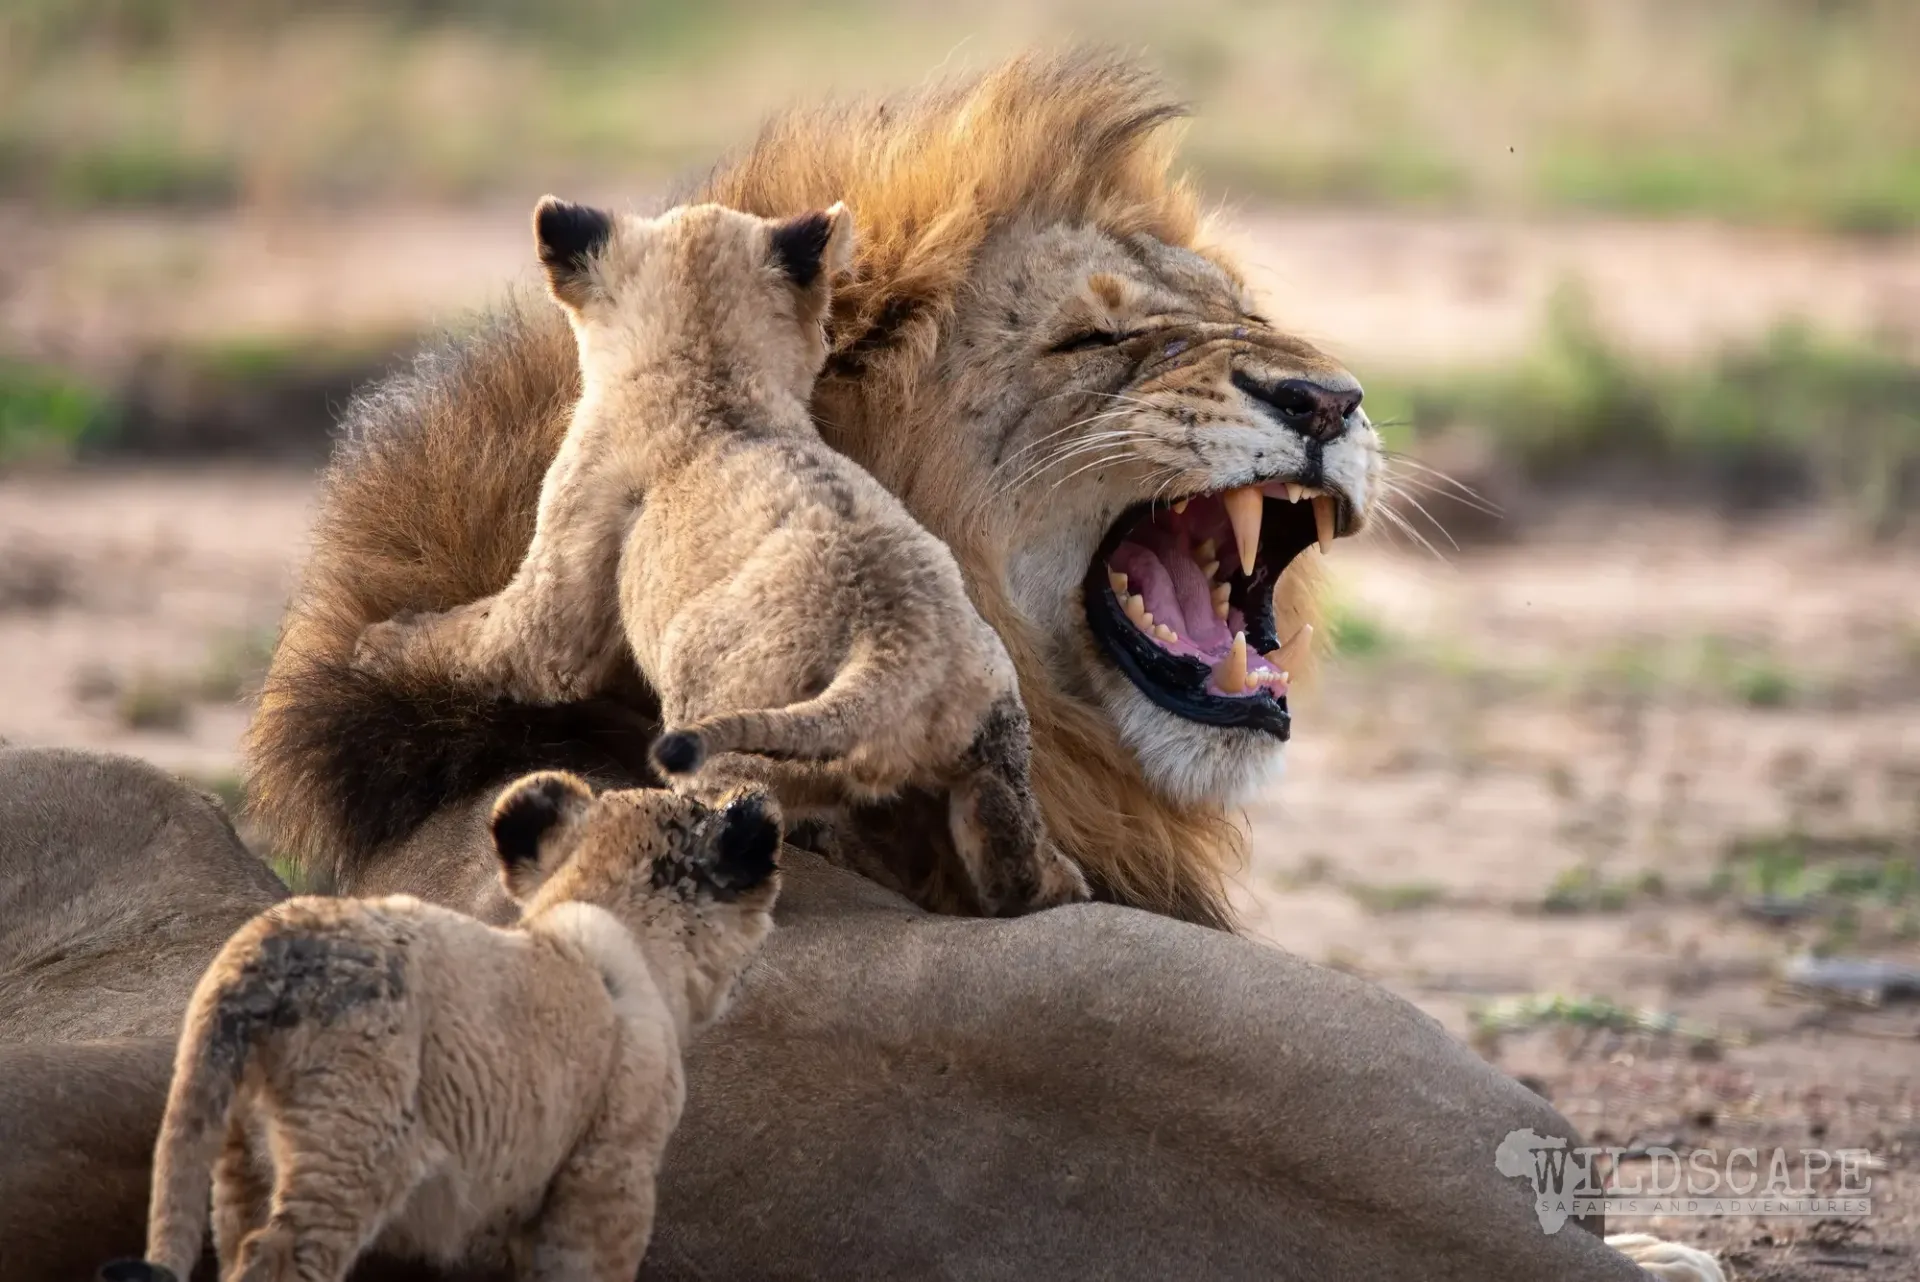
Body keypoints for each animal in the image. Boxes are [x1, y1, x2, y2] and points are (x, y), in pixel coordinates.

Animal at [102, 772, 780, 1282]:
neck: (608, 911)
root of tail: (265, 951)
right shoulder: (609, 1174)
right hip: (346, 1150)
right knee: (279, 1258)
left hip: (234, 1150)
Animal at [352, 196, 1086, 916]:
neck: (707, 369)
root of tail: (892, 649)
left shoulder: (565, 566)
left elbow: (492, 640)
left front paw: (376, 645)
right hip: (993, 735)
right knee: (1005, 856)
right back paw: (1057, 883)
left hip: (711, 700)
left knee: (753, 812)